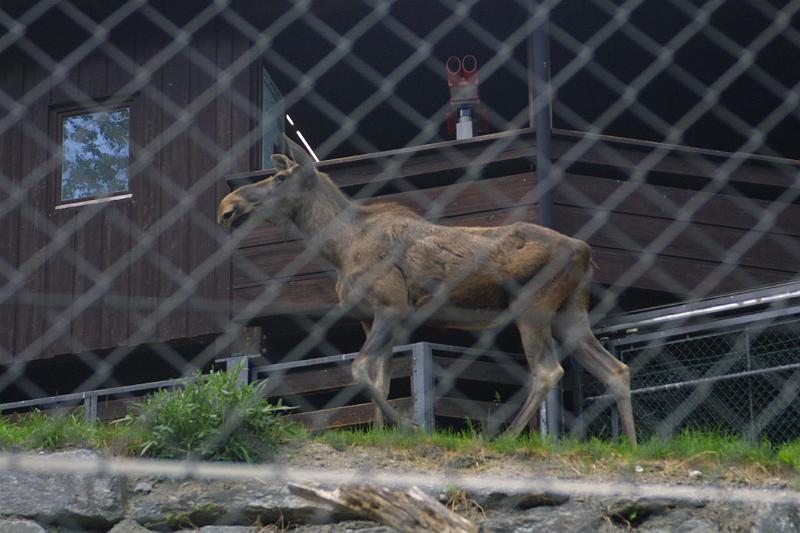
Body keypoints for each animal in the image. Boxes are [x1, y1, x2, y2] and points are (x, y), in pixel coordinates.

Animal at [217, 136, 637, 443]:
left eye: (279, 178)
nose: (226, 205)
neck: (337, 246)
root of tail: (586, 252)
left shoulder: (392, 307)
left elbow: (360, 369)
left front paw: (408, 426)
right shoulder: (370, 318)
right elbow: (381, 380)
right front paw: (384, 436)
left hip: (532, 307)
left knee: (548, 371)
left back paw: (508, 437)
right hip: (570, 313)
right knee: (615, 369)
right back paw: (631, 445)